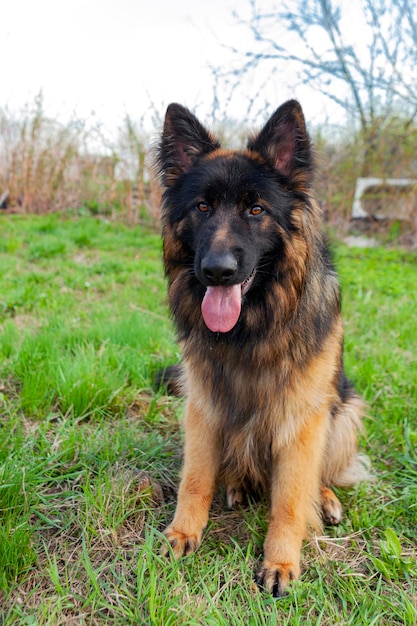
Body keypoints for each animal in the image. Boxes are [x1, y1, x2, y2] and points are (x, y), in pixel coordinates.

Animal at [155, 98, 368, 596]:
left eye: (256, 209)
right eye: (202, 207)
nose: (217, 271)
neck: (252, 327)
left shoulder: (302, 419)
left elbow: (289, 498)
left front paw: (282, 563)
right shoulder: (203, 404)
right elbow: (196, 478)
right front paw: (183, 532)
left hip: (344, 411)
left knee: (318, 476)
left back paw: (324, 498)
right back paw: (237, 483)